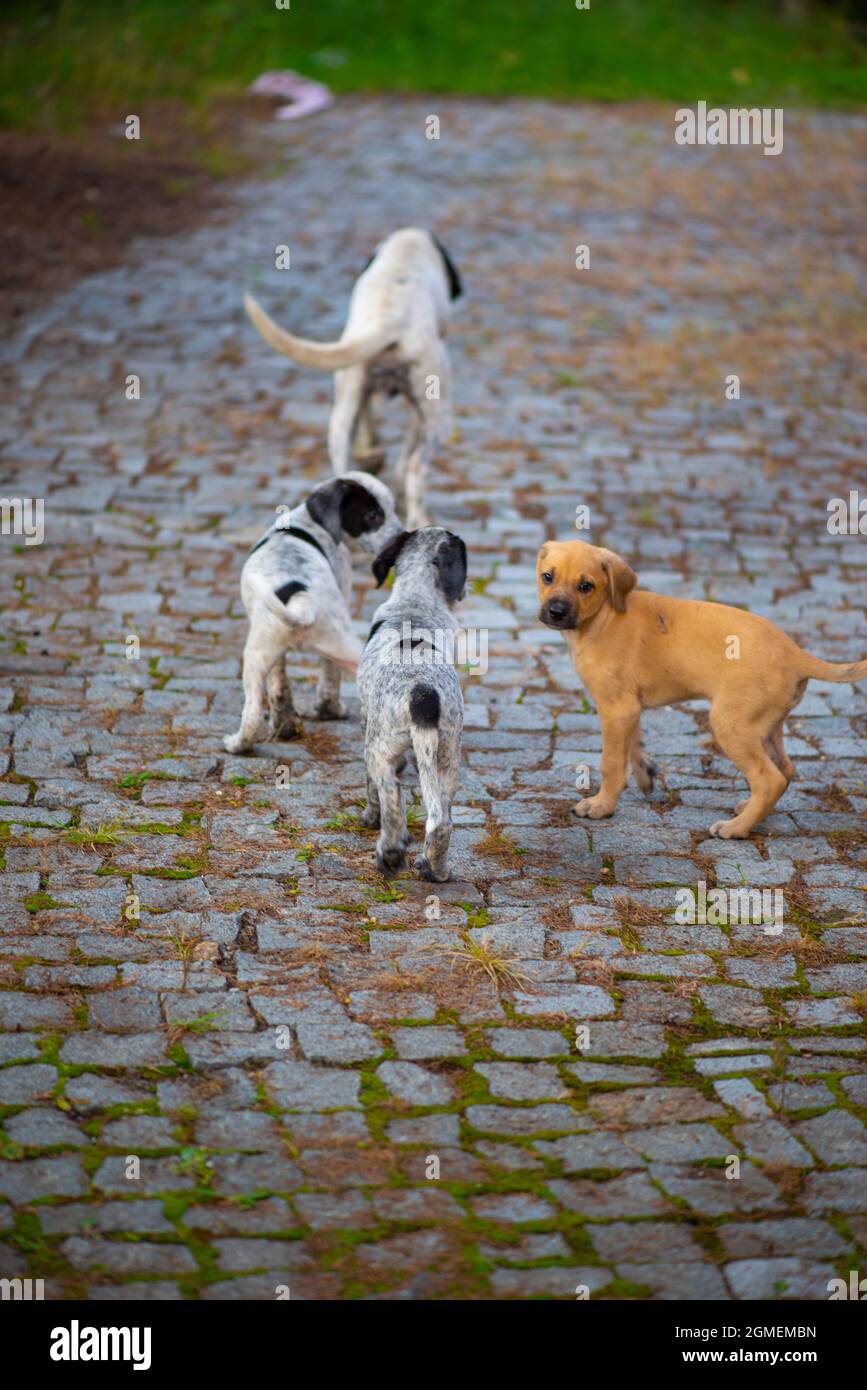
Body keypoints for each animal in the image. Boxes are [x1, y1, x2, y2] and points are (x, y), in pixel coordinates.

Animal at [222, 472, 400, 756]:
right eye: (373, 515)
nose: (403, 536)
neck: (308, 522)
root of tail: (301, 601)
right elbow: (312, 679)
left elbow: (288, 682)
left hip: (255, 657)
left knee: (251, 714)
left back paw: (237, 745)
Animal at [244, 225, 461, 528]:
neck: (405, 254)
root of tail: (390, 319)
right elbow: (405, 449)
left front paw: (372, 452)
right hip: (440, 419)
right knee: (416, 467)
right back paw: (418, 517)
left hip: (342, 412)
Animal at [358, 525, 466, 884]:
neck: (416, 599)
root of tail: (423, 693)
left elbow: (374, 791)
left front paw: (369, 817)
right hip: (448, 753)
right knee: (441, 818)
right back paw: (436, 868)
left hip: (379, 746)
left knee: (392, 795)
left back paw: (390, 854)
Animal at [539, 539, 861, 834]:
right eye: (547, 577)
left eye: (586, 586)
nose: (556, 611)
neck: (602, 618)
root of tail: (795, 652)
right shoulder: (628, 709)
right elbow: (633, 745)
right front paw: (644, 773)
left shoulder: (616, 708)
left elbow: (611, 763)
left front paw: (602, 805)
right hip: (767, 725)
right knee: (785, 770)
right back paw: (748, 811)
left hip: (731, 724)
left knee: (769, 779)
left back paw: (735, 829)